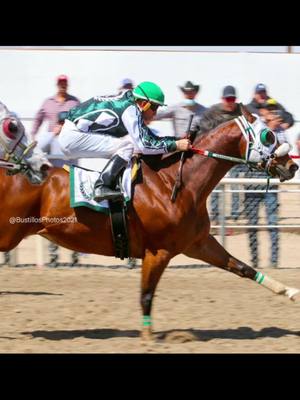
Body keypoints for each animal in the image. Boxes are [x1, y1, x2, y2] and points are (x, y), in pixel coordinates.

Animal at [0, 104, 300, 340]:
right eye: (268, 135)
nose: (292, 165)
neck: (176, 183)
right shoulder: (158, 251)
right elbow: (146, 294)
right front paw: (147, 336)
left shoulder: (198, 243)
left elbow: (243, 268)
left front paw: (290, 291)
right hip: (8, 234)